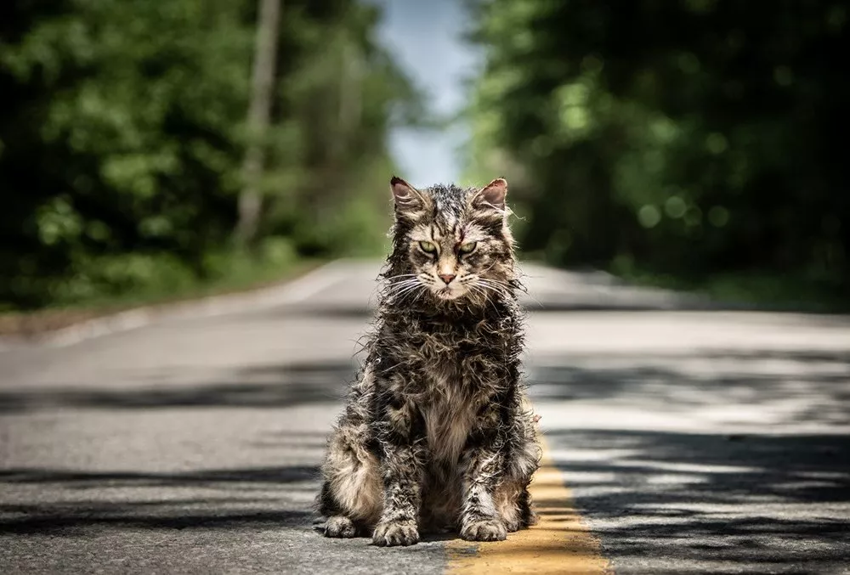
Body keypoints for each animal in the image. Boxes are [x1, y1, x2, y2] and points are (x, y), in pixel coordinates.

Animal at [314, 178, 540, 548]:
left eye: (467, 249)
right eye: (427, 248)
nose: (446, 277)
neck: (449, 328)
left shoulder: (491, 407)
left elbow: (481, 472)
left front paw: (481, 520)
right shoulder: (399, 406)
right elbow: (402, 475)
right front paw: (397, 524)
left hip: (525, 443)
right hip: (347, 449)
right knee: (334, 503)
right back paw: (342, 523)